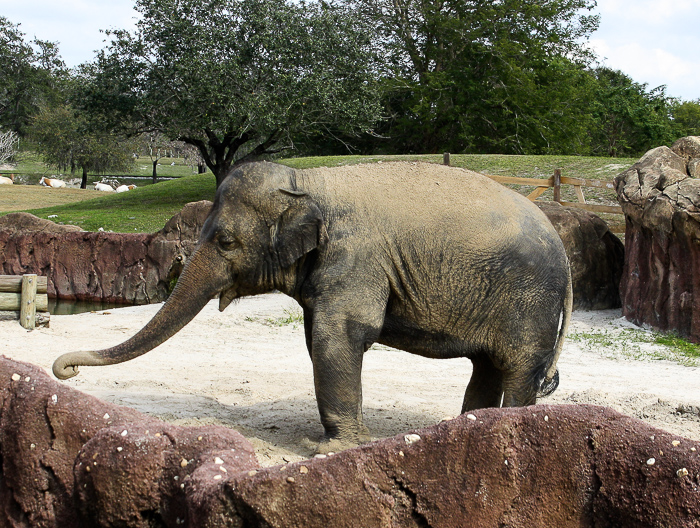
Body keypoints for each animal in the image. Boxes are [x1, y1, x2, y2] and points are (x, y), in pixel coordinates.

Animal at [53, 161, 568, 454]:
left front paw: (329, 450)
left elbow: (340, 335)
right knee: (487, 366)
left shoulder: (357, 256)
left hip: (531, 303)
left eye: (225, 241)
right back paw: (467, 428)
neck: (307, 184)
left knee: (517, 369)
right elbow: (315, 336)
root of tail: (563, 247)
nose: (65, 369)